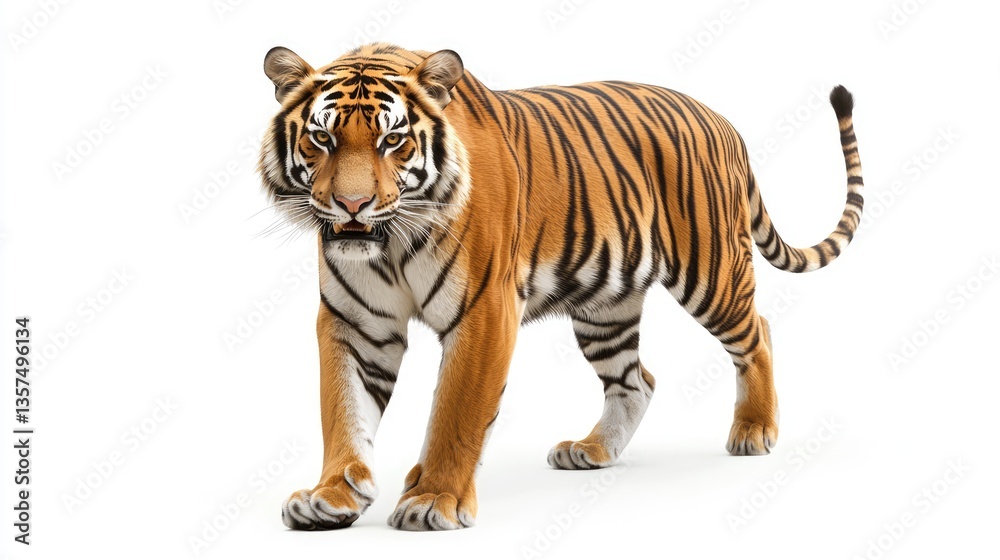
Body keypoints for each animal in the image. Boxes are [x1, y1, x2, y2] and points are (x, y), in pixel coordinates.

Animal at [257, 42, 864, 531]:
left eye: (392, 140)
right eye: (321, 138)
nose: (351, 205)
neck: (390, 240)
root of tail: (722, 121)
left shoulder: (484, 311)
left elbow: (456, 412)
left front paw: (434, 500)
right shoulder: (354, 321)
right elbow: (343, 411)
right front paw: (333, 495)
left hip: (711, 271)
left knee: (757, 332)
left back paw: (754, 430)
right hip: (605, 306)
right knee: (636, 379)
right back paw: (593, 450)